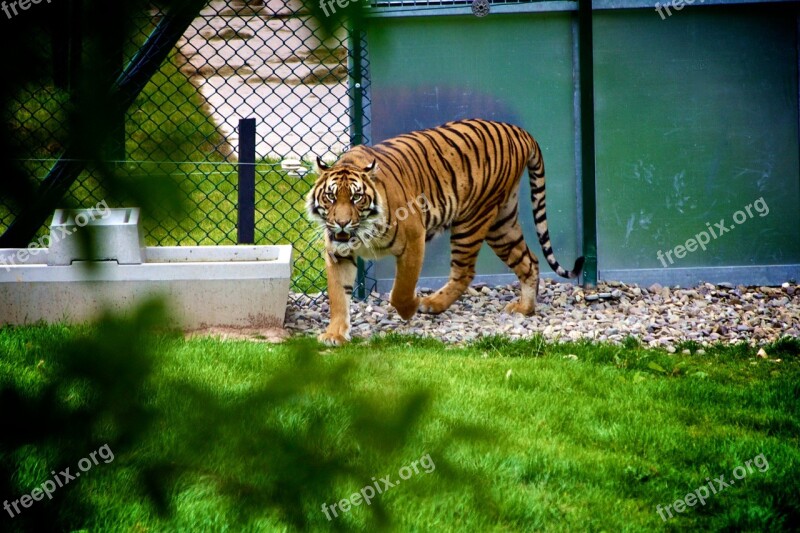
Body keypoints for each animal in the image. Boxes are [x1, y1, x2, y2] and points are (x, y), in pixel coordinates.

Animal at [306, 118, 580, 344]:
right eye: (331, 197)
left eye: (356, 198)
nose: (341, 223)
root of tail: (519, 131)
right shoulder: (338, 254)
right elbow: (338, 296)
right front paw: (334, 334)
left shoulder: (413, 240)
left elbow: (401, 290)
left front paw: (411, 308)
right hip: (502, 224)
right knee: (529, 261)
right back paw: (525, 309)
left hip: (472, 220)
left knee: (465, 271)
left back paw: (432, 304)